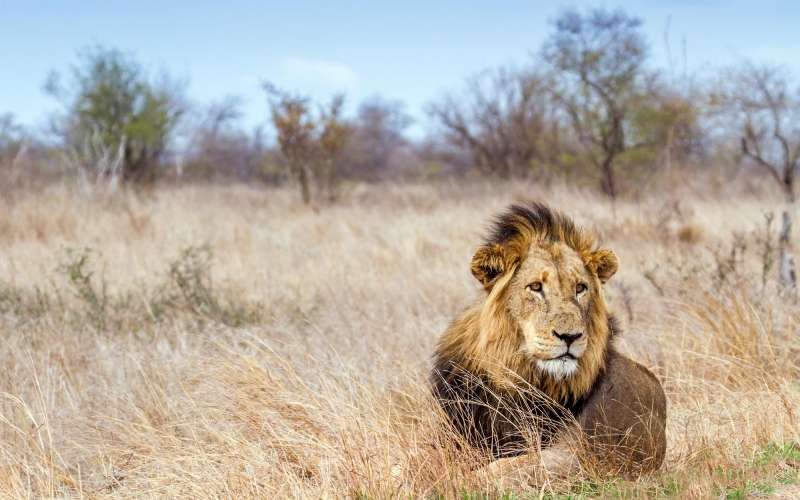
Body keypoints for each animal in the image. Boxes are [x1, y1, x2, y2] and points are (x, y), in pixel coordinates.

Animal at [434, 202, 664, 480]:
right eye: (535, 287)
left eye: (580, 288)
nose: (570, 336)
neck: (516, 378)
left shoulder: (578, 456)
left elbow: (493, 470)